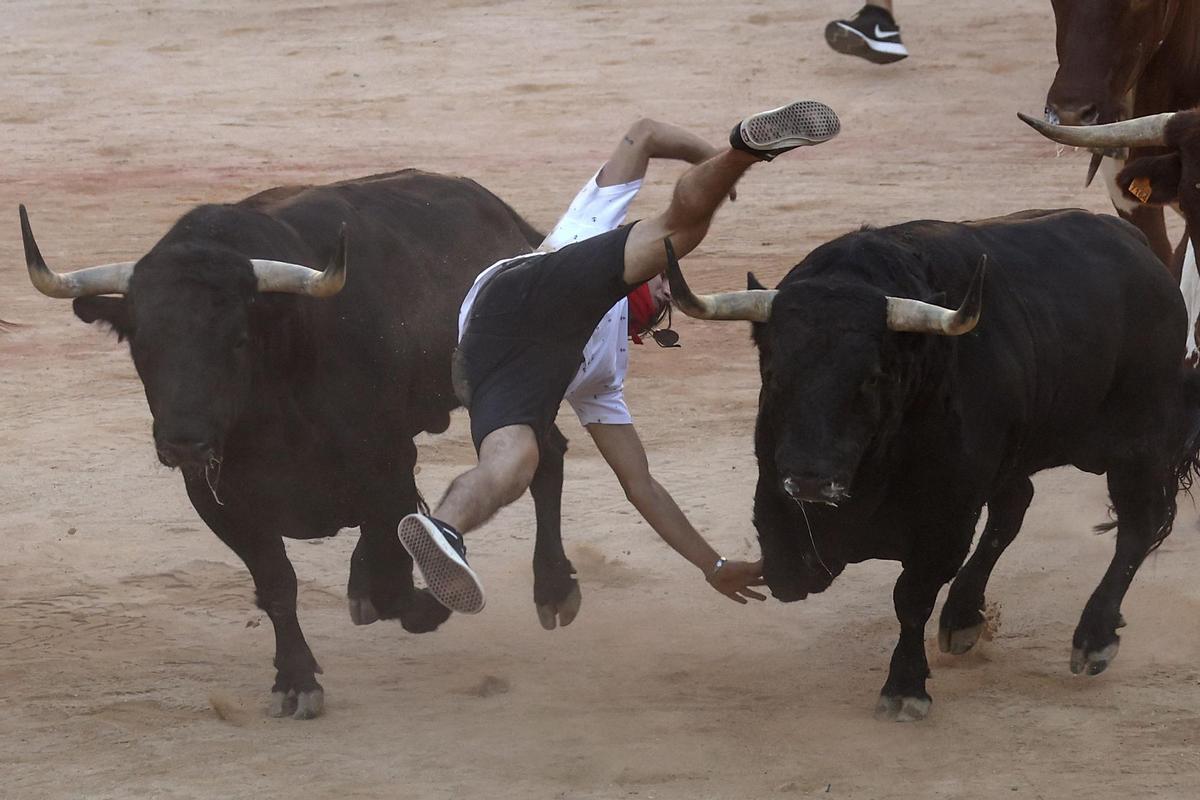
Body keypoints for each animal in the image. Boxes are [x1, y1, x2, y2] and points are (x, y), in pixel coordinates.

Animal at [21, 169, 578, 719]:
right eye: (142, 343)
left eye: (238, 339)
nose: (183, 443)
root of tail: (512, 225)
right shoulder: (216, 498)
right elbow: (277, 584)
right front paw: (295, 680)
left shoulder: (388, 466)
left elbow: (395, 579)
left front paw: (430, 603)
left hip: (515, 381)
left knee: (545, 458)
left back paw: (554, 589)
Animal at [672, 209, 1200, 724]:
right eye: (774, 373)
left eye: (873, 377)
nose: (810, 481)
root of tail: (1139, 248)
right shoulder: (776, 498)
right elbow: (790, 565)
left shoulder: (946, 518)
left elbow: (911, 597)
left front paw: (905, 687)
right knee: (1015, 507)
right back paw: (963, 617)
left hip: (1139, 440)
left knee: (1138, 524)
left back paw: (1093, 638)